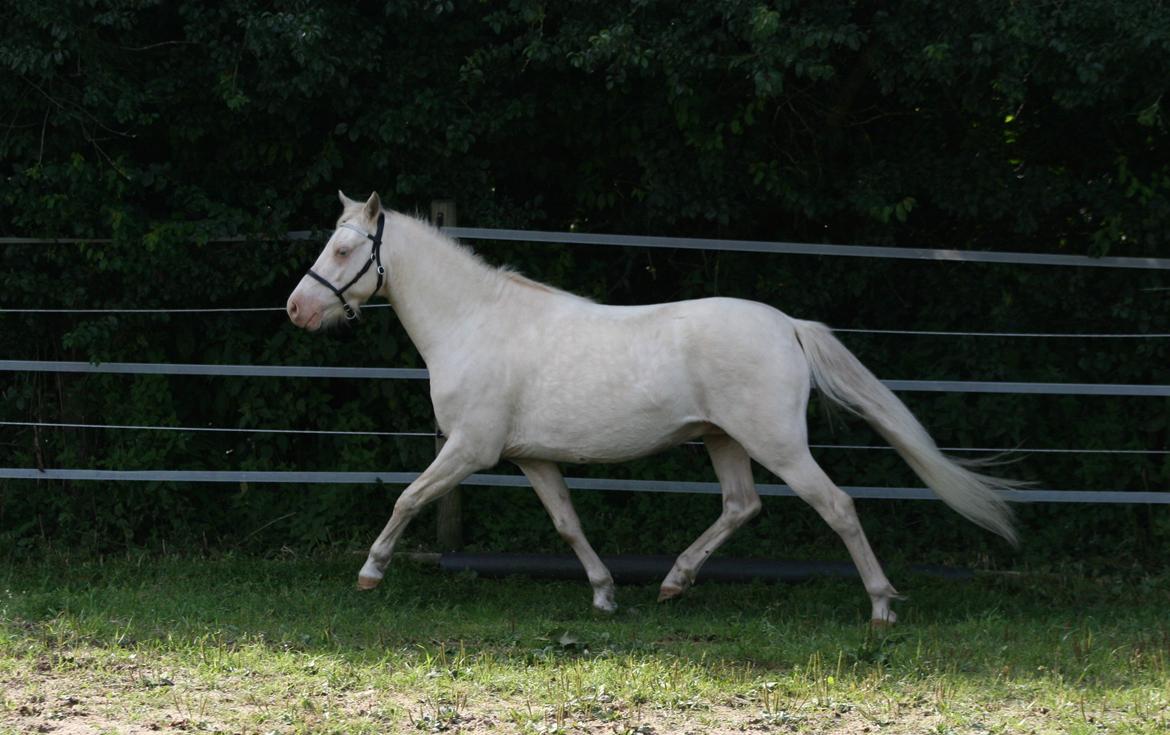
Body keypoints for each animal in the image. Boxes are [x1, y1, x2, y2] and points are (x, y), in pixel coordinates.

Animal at [286, 191, 1019, 624]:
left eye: (344, 248)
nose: (297, 308)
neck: (476, 323)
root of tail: (788, 326)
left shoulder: (469, 448)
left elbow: (407, 498)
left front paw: (370, 572)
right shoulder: (530, 458)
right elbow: (568, 525)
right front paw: (605, 593)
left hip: (777, 443)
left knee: (836, 505)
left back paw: (881, 605)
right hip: (724, 441)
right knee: (740, 506)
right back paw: (673, 581)